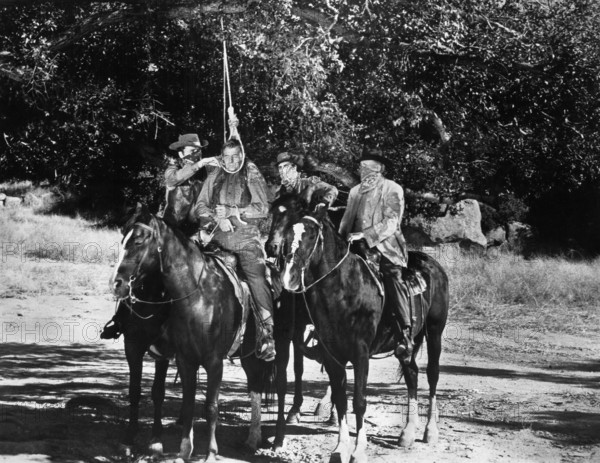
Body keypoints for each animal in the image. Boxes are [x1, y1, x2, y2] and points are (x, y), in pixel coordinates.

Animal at [109, 205, 272, 462]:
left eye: (139, 239)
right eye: (123, 235)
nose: (117, 284)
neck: (198, 297)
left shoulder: (214, 362)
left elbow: (210, 406)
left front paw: (211, 453)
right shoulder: (162, 353)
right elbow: (163, 397)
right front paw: (162, 445)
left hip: (261, 353)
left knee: (259, 385)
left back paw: (256, 438)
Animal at [270, 194, 448, 462]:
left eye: (311, 236)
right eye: (289, 234)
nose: (288, 278)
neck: (344, 289)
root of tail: (433, 266)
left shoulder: (360, 354)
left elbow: (359, 401)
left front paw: (359, 450)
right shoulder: (332, 355)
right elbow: (341, 398)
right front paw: (340, 448)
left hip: (435, 331)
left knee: (433, 374)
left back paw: (430, 431)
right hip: (407, 344)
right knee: (412, 373)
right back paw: (407, 433)